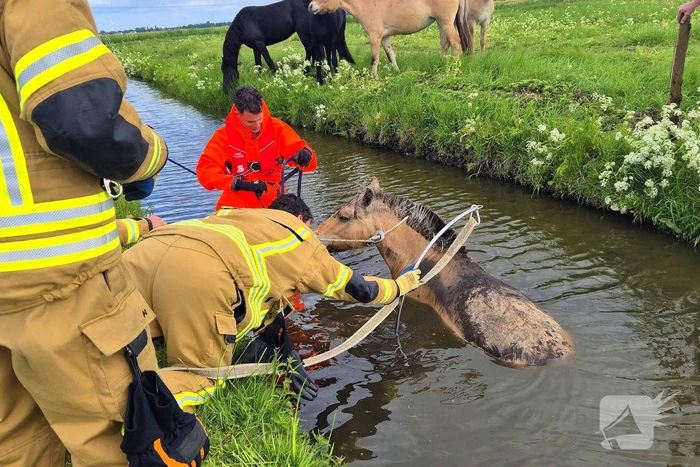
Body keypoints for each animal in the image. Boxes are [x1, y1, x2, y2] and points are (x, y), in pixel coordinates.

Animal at [307, 0, 470, 76]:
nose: (310, 6)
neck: (365, 4)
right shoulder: (385, 38)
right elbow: (391, 55)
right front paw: (397, 72)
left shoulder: (375, 37)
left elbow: (374, 58)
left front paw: (373, 77)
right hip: (441, 23)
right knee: (445, 44)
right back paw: (444, 65)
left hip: (446, 22)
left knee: (456, 44)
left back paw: (454, 68)